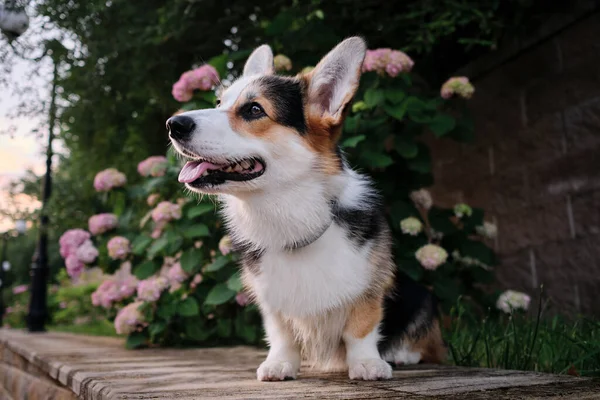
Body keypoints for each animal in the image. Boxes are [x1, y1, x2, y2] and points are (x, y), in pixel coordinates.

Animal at [168, 36, 446, 382]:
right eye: (219, 102)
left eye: (254, 109)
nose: (173, 124)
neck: (288, 212)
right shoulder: (271, 299)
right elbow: (281, 334)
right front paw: (279, 365)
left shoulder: (370, 284)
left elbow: (362, 327)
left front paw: (367, 364)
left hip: (421, 296)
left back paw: (402, 354)